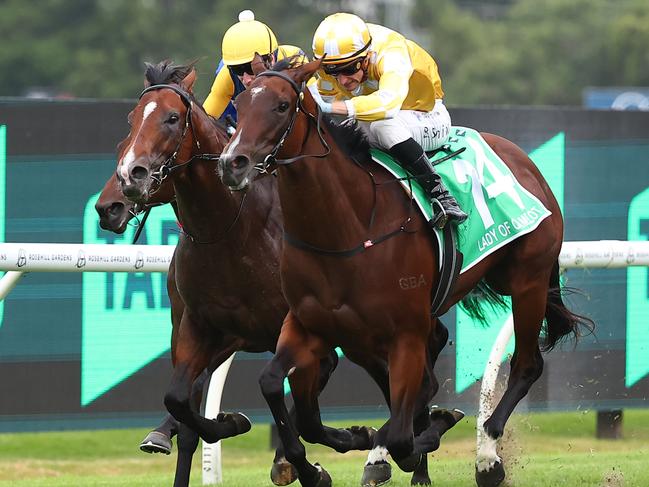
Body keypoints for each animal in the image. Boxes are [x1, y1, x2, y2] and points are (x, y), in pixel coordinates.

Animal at [218, 59, 592, 487]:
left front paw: (410, 441)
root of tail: (526, 163)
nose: (231, 163)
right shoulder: (310, 325)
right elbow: (279, 393)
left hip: (528, 281)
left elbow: (400, 436)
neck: (349, 229)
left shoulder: (406, 334)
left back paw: (486, 458)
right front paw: (332, 453)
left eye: (281, 106)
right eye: (240, 104)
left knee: (526, 365)